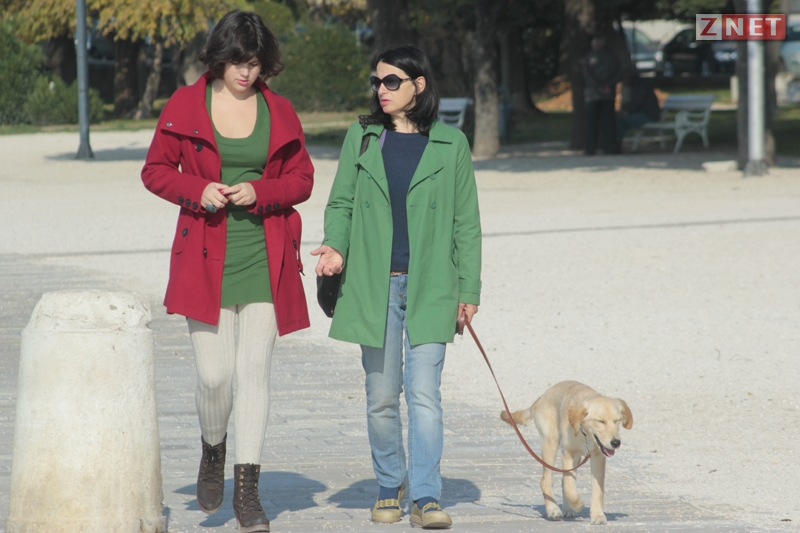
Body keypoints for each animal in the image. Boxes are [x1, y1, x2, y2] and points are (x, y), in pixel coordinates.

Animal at [500, 380, 633, 525]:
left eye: (617, 420)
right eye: (600, 421)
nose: (616, 443)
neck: (584, 434)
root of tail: (541, 398)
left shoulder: (598, 457)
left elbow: (597, 490)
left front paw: (598, 516)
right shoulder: (567, 454)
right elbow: (570, 488)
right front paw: (578, 504)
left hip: (575, 457)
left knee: (563, 480)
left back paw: (568, 509)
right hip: (550, 443)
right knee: (546, 481)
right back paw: (553, 510)